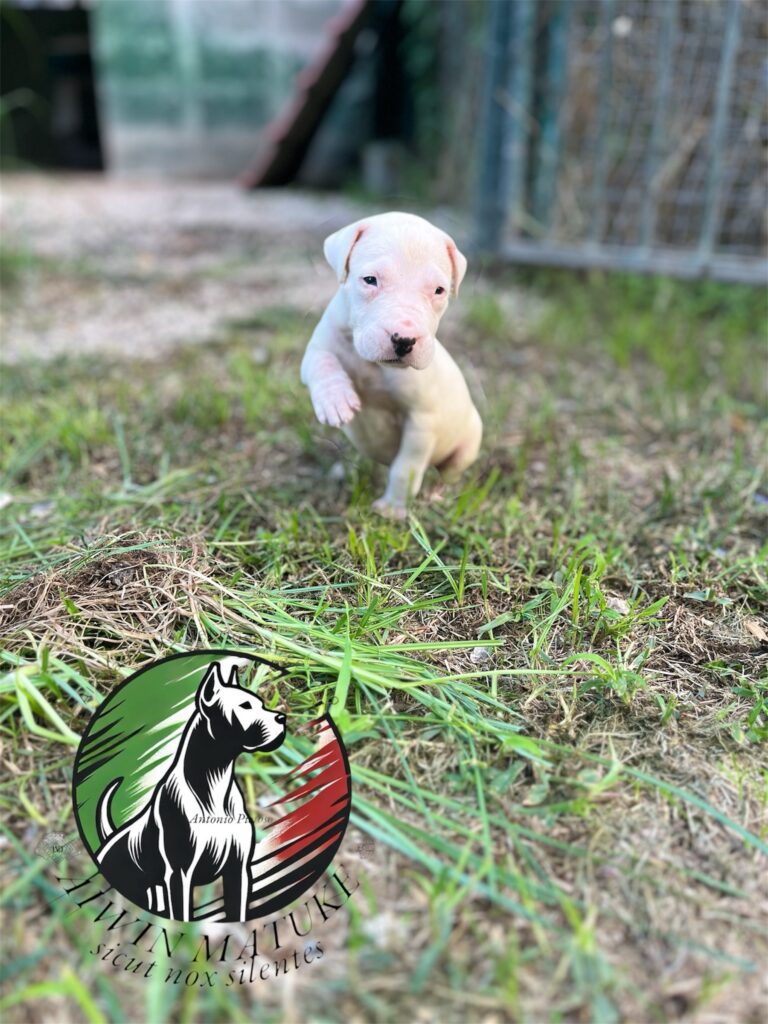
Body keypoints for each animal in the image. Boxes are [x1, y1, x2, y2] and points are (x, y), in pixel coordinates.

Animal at [301, 210, 481, 516]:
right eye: (370, 280)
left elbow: (405, 468)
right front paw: (336, 399)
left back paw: (438, 493)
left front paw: (392, 509)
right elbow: (320, 361)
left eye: (439, 290)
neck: (374, 366)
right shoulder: (321, 344)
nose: (404, 340)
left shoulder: (421, 422)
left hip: (467, 445)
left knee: (449, 472)